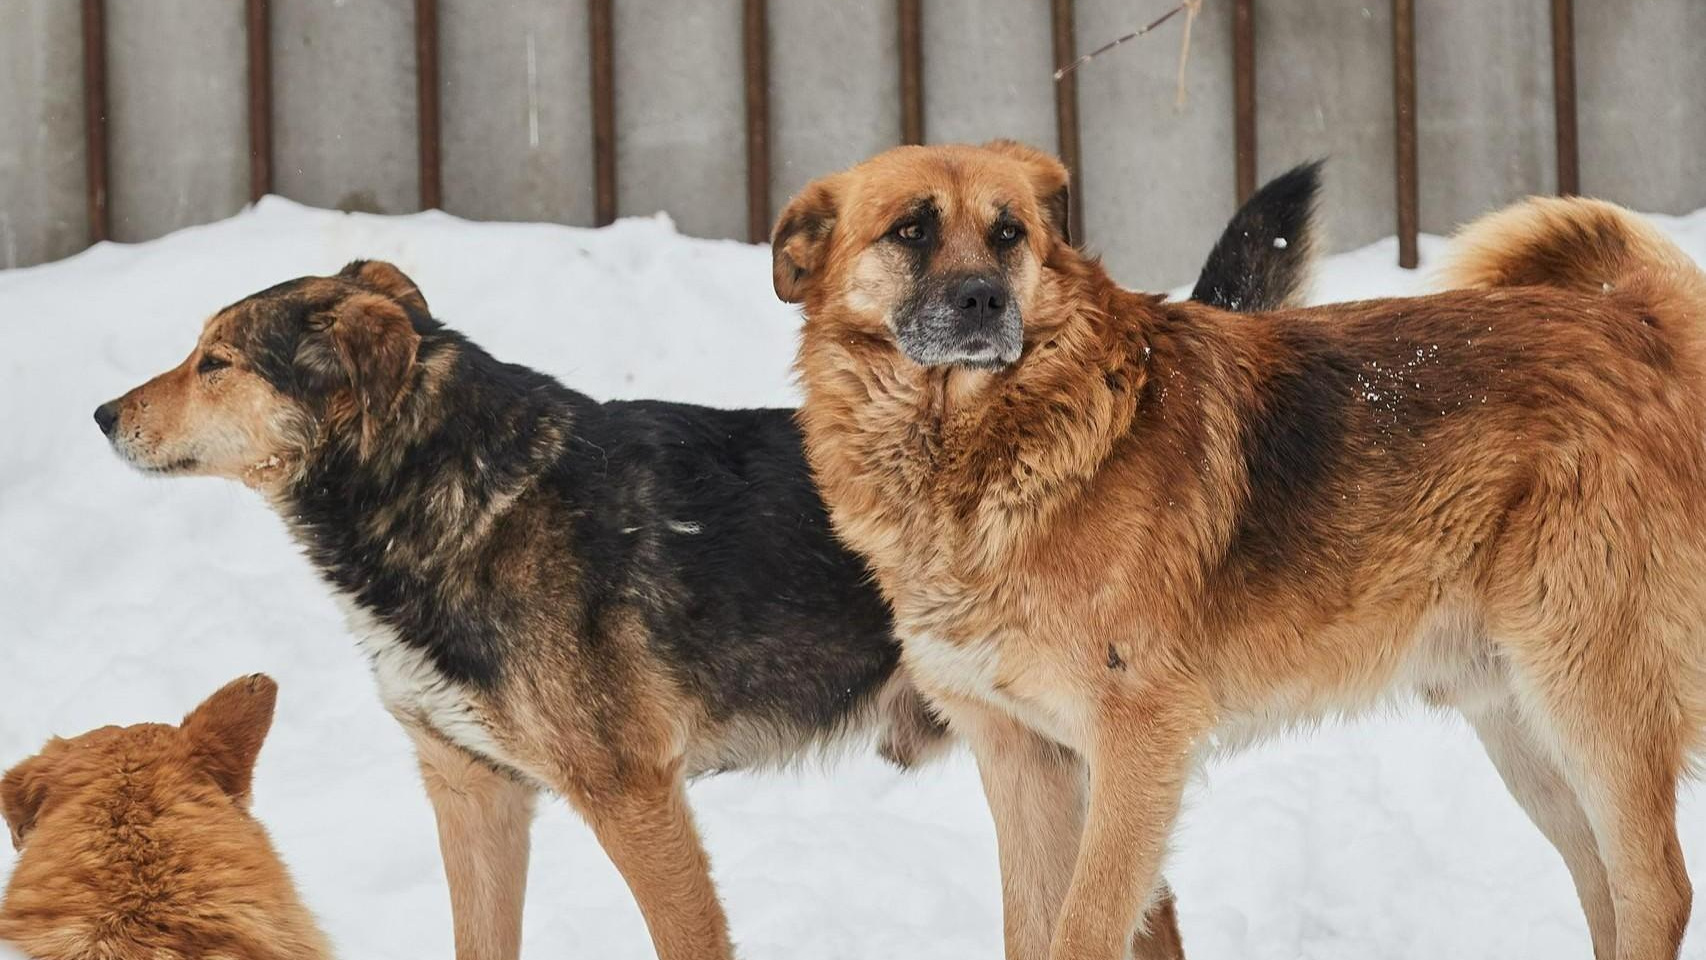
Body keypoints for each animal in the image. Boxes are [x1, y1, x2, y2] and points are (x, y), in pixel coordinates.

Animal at [781, 140, 1706, 960]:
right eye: (911, 230)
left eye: (1009, 234)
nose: (981, 302)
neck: (984, 453)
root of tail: (1638, 321)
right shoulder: (1023, 758)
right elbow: (1034, 933)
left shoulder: (1137, 745)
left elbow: (1086, 932)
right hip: (1521, 723)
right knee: (1604, 887)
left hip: (1590, 692)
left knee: (1656, 887)